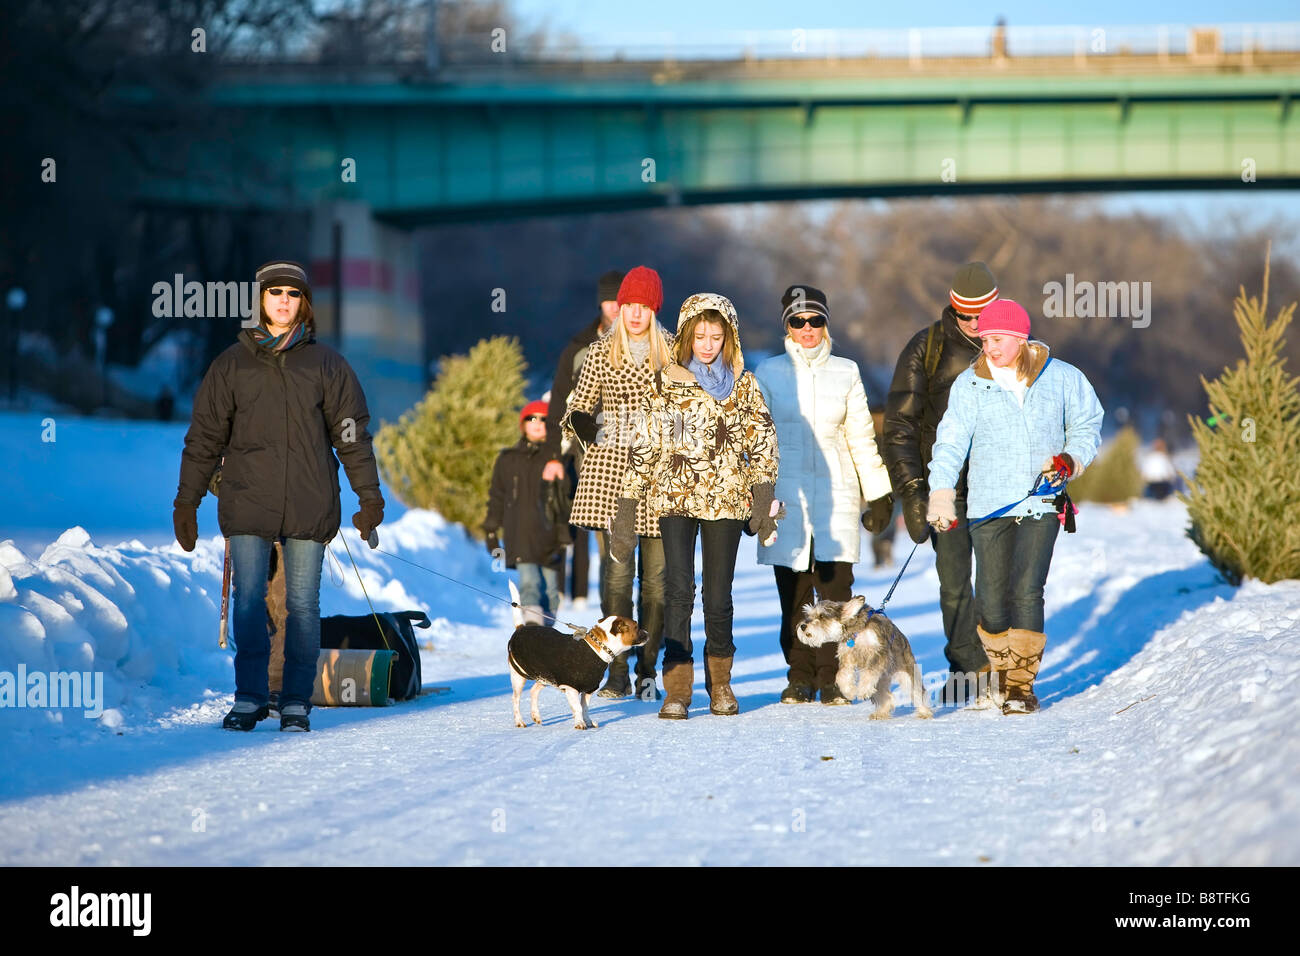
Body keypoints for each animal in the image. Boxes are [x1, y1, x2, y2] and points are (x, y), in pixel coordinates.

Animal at [509, 616, 647, 728]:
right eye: (636, 627)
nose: (647, 632)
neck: (598, 647)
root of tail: (520, 628)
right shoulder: (571, 687)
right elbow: (578, 708)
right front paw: (580, 723)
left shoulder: (589, 689)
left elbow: (585, 708)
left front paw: (588, 722)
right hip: (519, 676)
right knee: (516, 699)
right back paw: (519, 721)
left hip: (544, 676)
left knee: (533, 692)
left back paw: (535, 715)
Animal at [795, 595, 930, 723]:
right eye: (808, 615)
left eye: (822, 616)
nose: (803, 626)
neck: (856, 630)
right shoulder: (847, 657)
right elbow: (841, 675)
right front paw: (849, 691)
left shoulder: (878, 653)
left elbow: (869, 672)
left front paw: (862, 691)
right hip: (880, 682)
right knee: (886, 696)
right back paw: (880, 714)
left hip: (906, 673)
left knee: (917, 691)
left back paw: (925, 713)